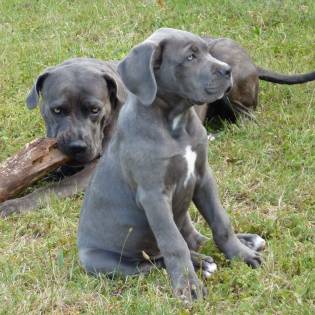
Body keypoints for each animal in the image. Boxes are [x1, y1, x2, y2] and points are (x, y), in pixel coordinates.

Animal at [78, 29, 266, 304]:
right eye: (190, 57)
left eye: (208, 51)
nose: (228, 70)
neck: (176, 123)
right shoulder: (154, 196)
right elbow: (173, 244)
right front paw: (188, 285)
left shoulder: (202, 177)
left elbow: (221, 221)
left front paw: (240, 254)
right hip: (101, 261)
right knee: (153, 262)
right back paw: (201, 263)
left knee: (193, 239)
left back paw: (245, 242)